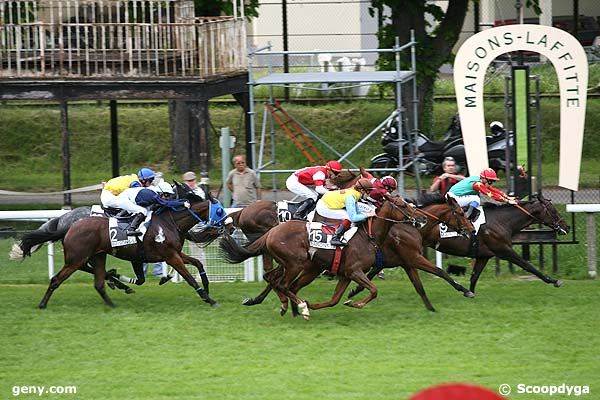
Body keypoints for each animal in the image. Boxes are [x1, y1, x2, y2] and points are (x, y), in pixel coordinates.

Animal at [36, 184, 223, 310]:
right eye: (220, 211)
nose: (223, 227)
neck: (169, 222)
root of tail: (68, 225)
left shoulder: (174, 253)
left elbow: (198, 264)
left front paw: (207, 288)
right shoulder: (170, 256)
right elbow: (189, 278)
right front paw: (208, 299)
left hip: (96, 256)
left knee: (98, 283)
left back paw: (113, 300)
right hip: (76, 258)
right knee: (56, 279)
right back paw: (42, 304)